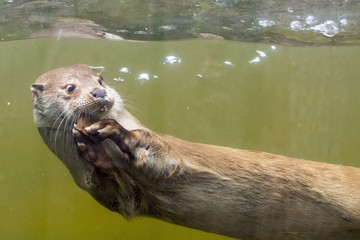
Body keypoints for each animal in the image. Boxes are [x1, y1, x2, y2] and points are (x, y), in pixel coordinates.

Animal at [31, 63, 360, 240]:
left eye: (100, 80)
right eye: (70, 87)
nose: (99, 92)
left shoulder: (170, 155)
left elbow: (157, 155)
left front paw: (113, 129)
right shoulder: (114, 191)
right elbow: (124, 198)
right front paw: (91, 150)